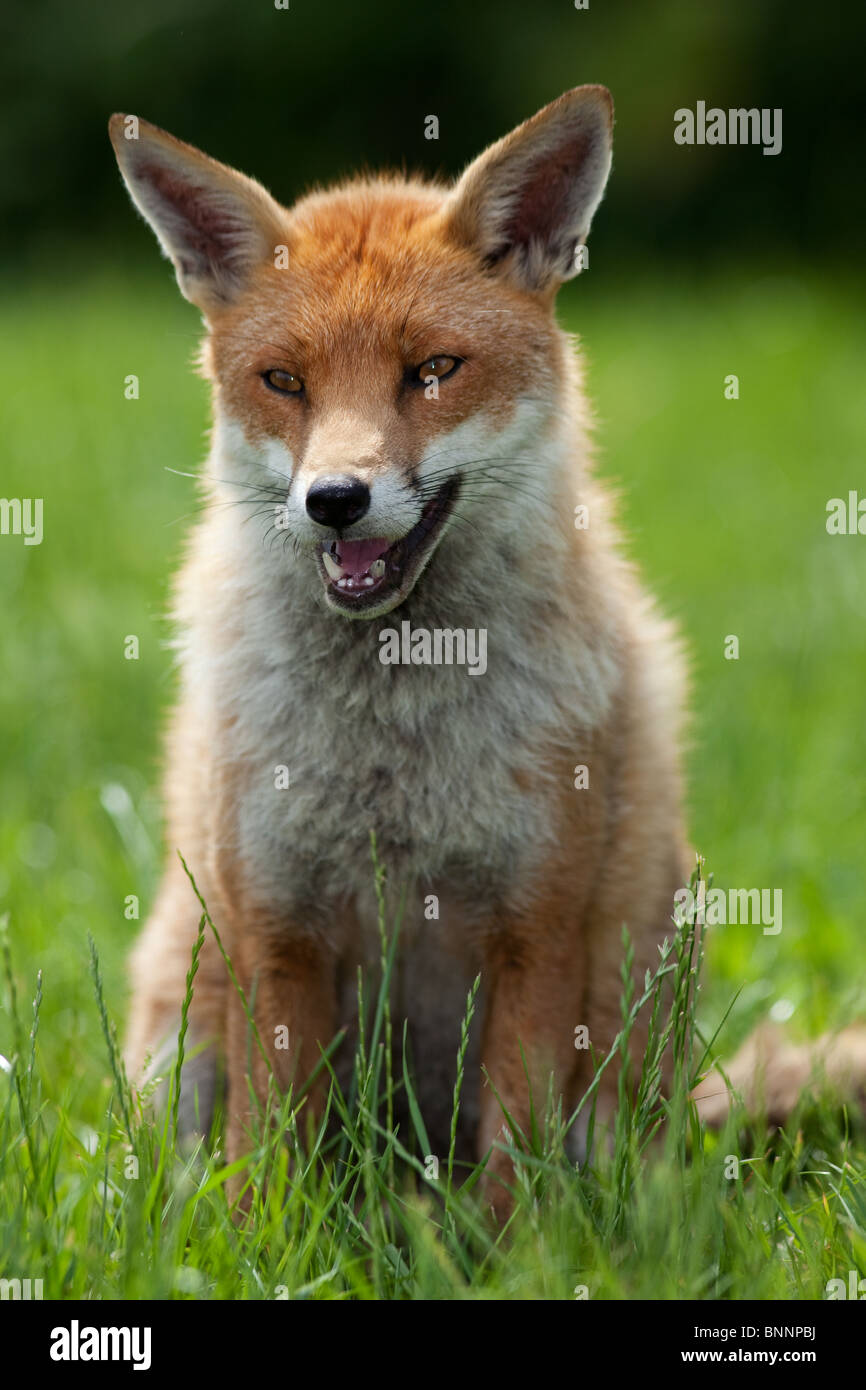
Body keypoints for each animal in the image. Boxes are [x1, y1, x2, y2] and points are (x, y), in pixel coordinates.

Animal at [108, 92, 697, 1212]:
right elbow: (266, 1166)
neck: (392, 752)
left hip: (626, 1039)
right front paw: (262, 1241)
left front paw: (520, 1247)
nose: (333, 499)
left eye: (431, 372)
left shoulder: (536, 927)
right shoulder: (278, 930)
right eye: (283, 381)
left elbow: (513, 1172)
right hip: (178, 1021)